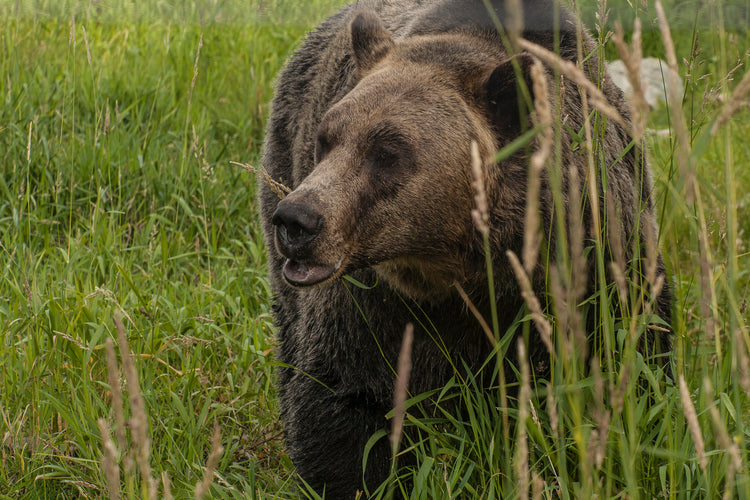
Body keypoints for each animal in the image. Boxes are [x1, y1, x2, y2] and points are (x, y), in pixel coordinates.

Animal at [259, 0, 672, 497]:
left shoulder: (596, 252)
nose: (297, 220)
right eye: (326, 139)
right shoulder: (376, 298)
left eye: (387, 152)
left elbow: (631, 351)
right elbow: (346, 395)